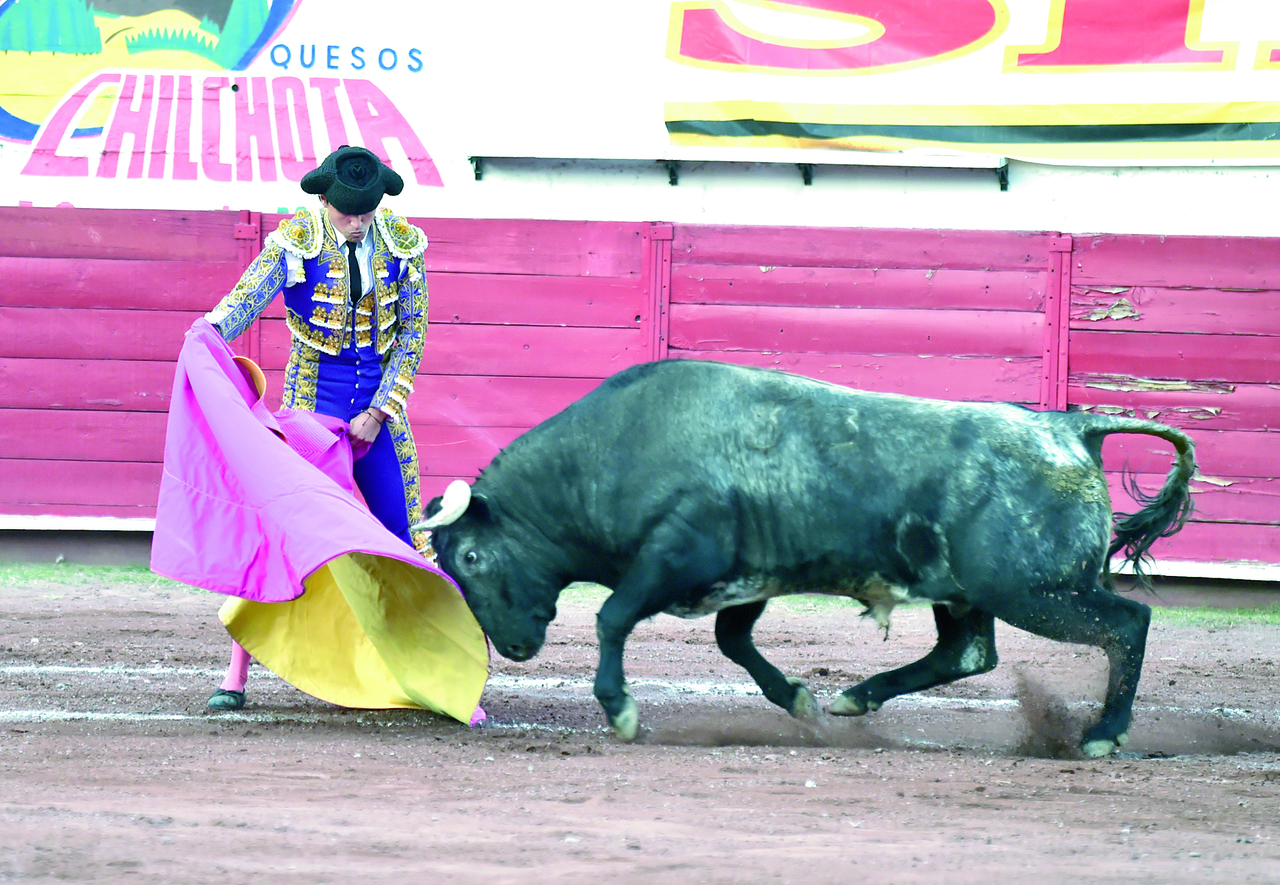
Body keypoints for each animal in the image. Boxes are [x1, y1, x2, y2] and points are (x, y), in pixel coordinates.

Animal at [414, 363, 1192, 758]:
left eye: (472, 555)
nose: (514, 648)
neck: (610, 455)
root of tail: (1067, 427)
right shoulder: (744, 577)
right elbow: (733, 642)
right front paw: (800, 699)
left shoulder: (674, 555)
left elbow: (610, 616)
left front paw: (622, 710)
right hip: (968, 591)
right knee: (967, 653)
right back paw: (856, 696)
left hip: (1036, 589)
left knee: (1128, 623)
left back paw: (1102, 735)